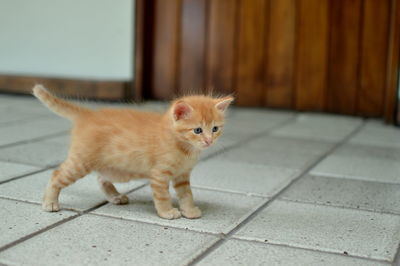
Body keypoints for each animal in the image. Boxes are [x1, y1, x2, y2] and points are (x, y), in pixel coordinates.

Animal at [32, 85, 233, 220]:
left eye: (215, 129)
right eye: (198, 130)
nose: (209, 141)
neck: (184, 148)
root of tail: (89, 114)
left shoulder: (182, 176)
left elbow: (186, 194)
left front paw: (189, 210)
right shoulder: (159, 174)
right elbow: (163, 196)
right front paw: (167, 212)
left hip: (115, 168)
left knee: (101, 178)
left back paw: (115, 196)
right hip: (81, 162)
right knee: (57, 174)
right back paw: (49, 202)